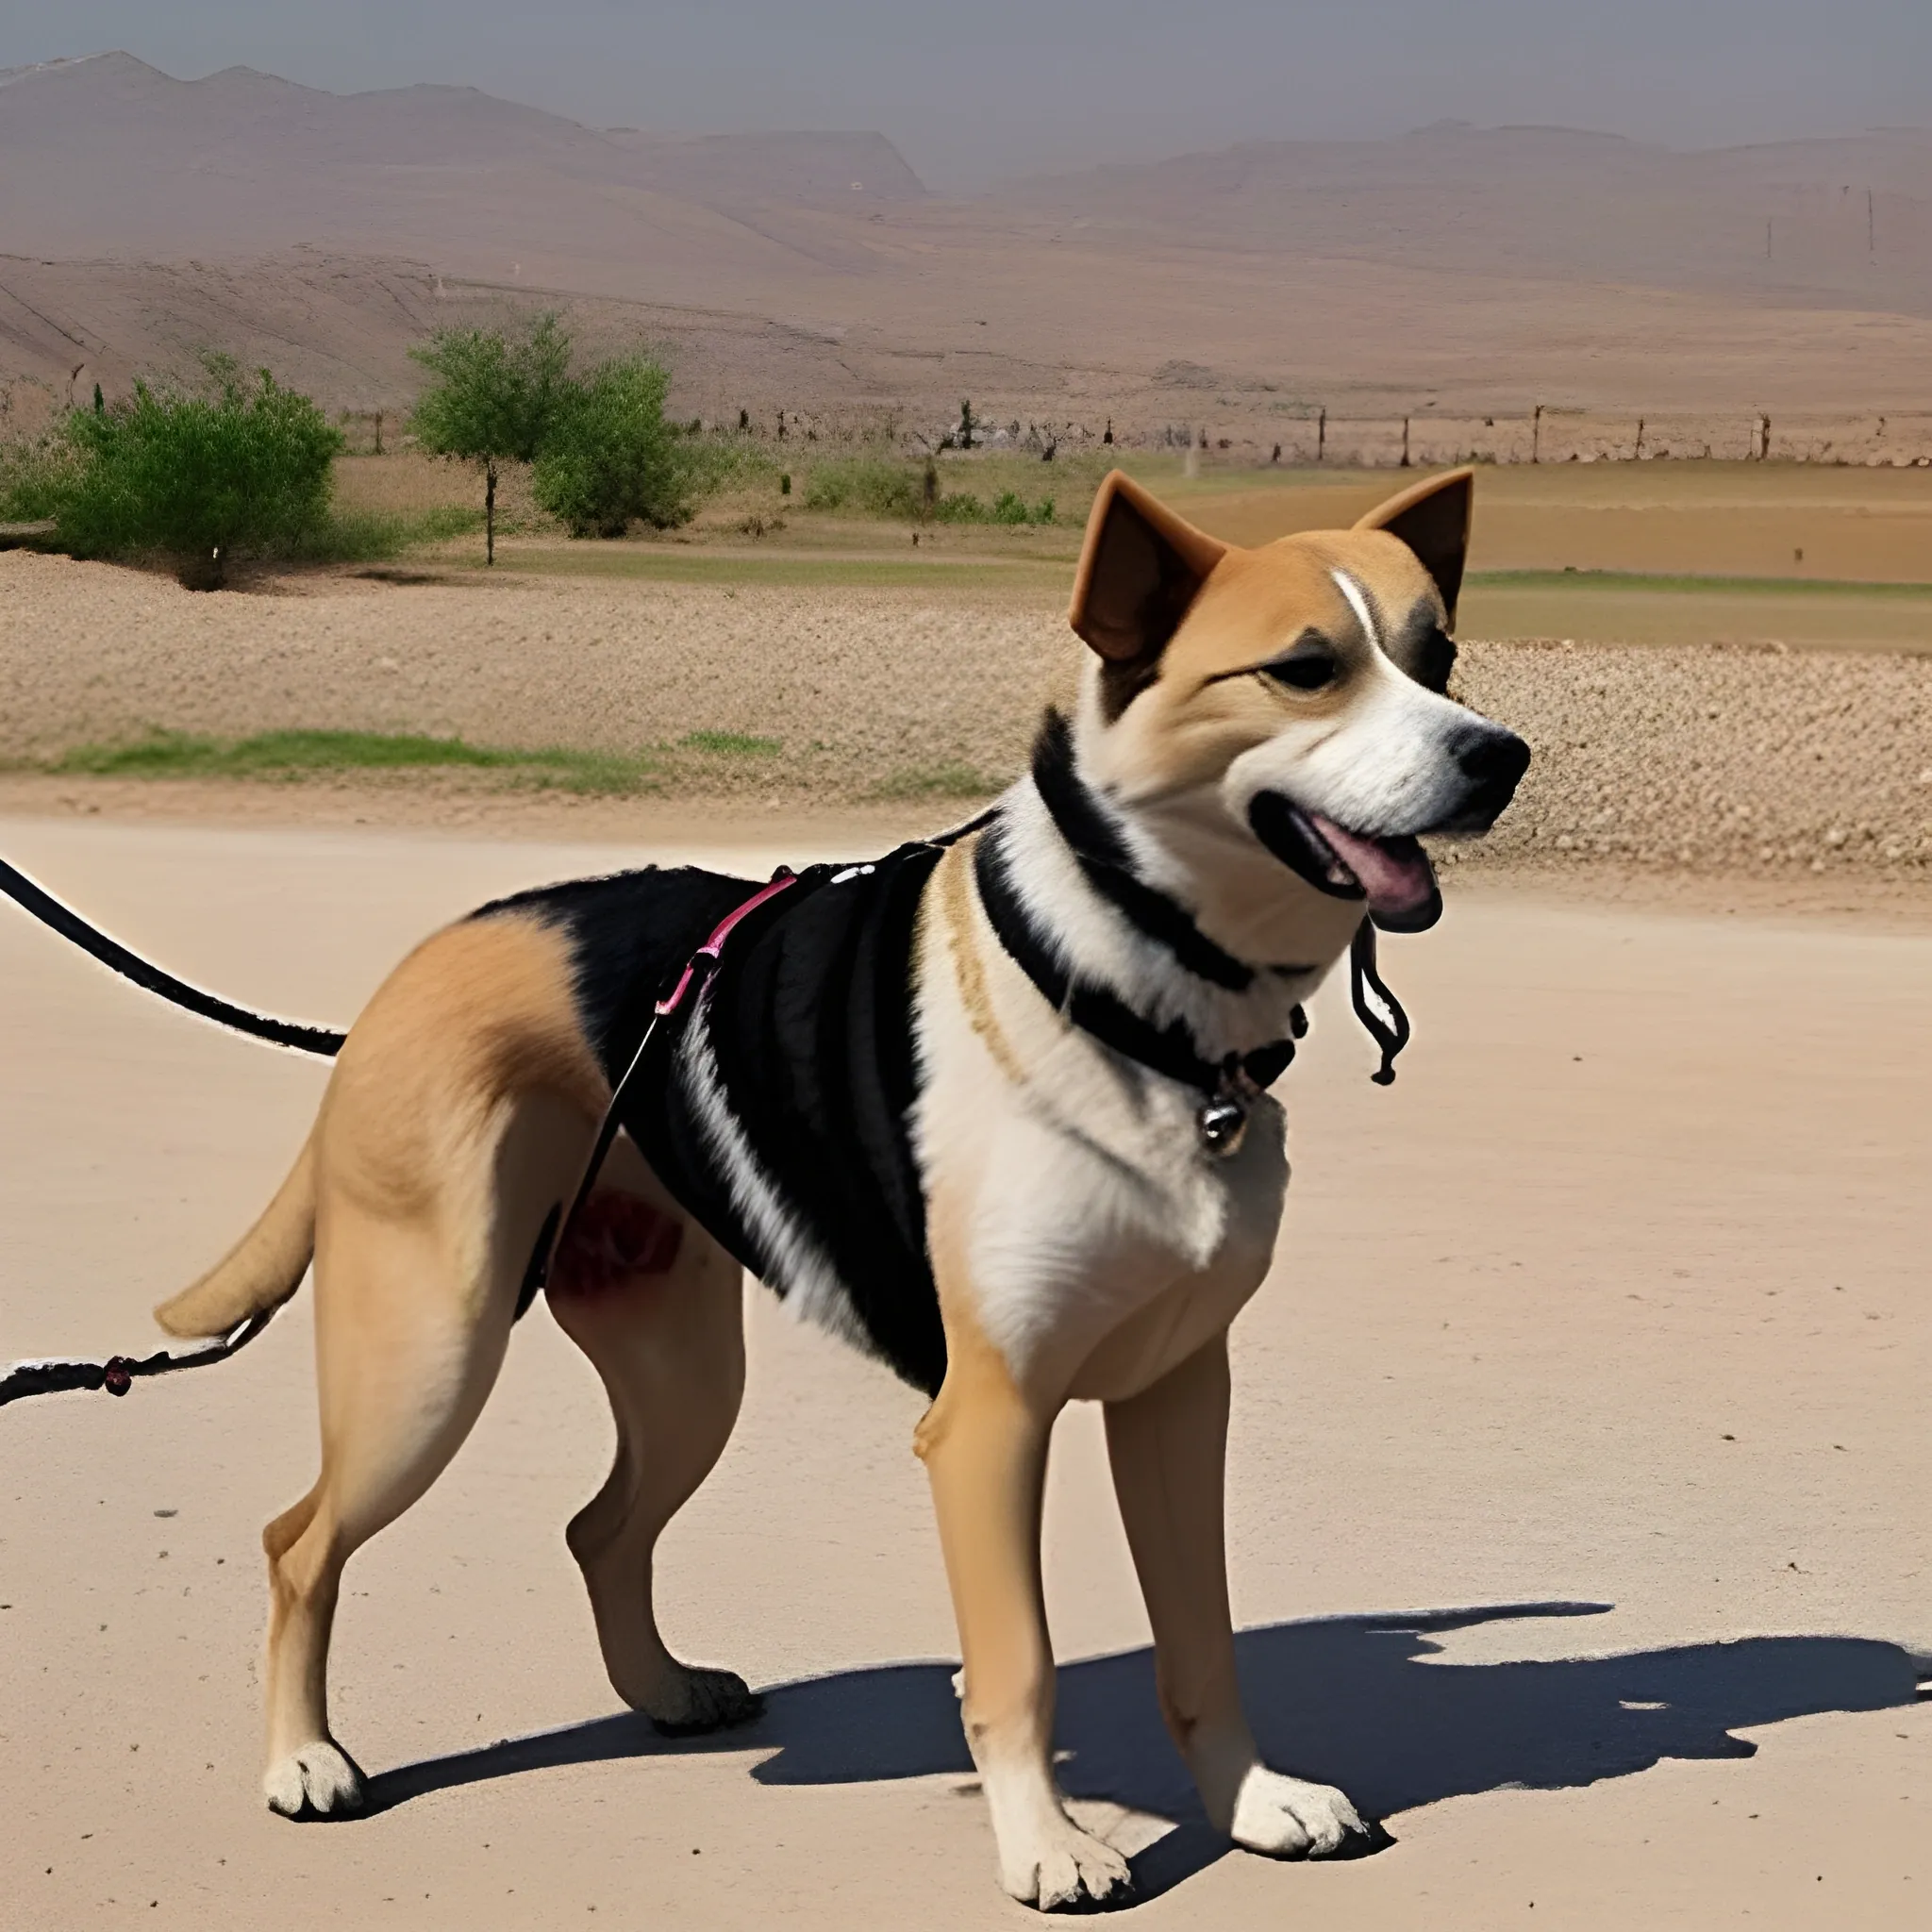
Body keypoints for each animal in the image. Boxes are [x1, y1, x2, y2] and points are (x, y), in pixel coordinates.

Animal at [154, 463, 1522, 1901]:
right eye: (1306, 668)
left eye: (1437, 653)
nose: (1498, 755)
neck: (1121, 987)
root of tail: (399, 984)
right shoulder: (990, 1421)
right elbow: (1017, 1665)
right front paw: (1047, 1845)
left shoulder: (1176, 1393)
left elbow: (1201, 1639)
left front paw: (1253, 1802)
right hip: (430, 1363)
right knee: (300, 1540)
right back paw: (304, 1761)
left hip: (684, 1375)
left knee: (599, 1528)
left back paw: (661, 1690)